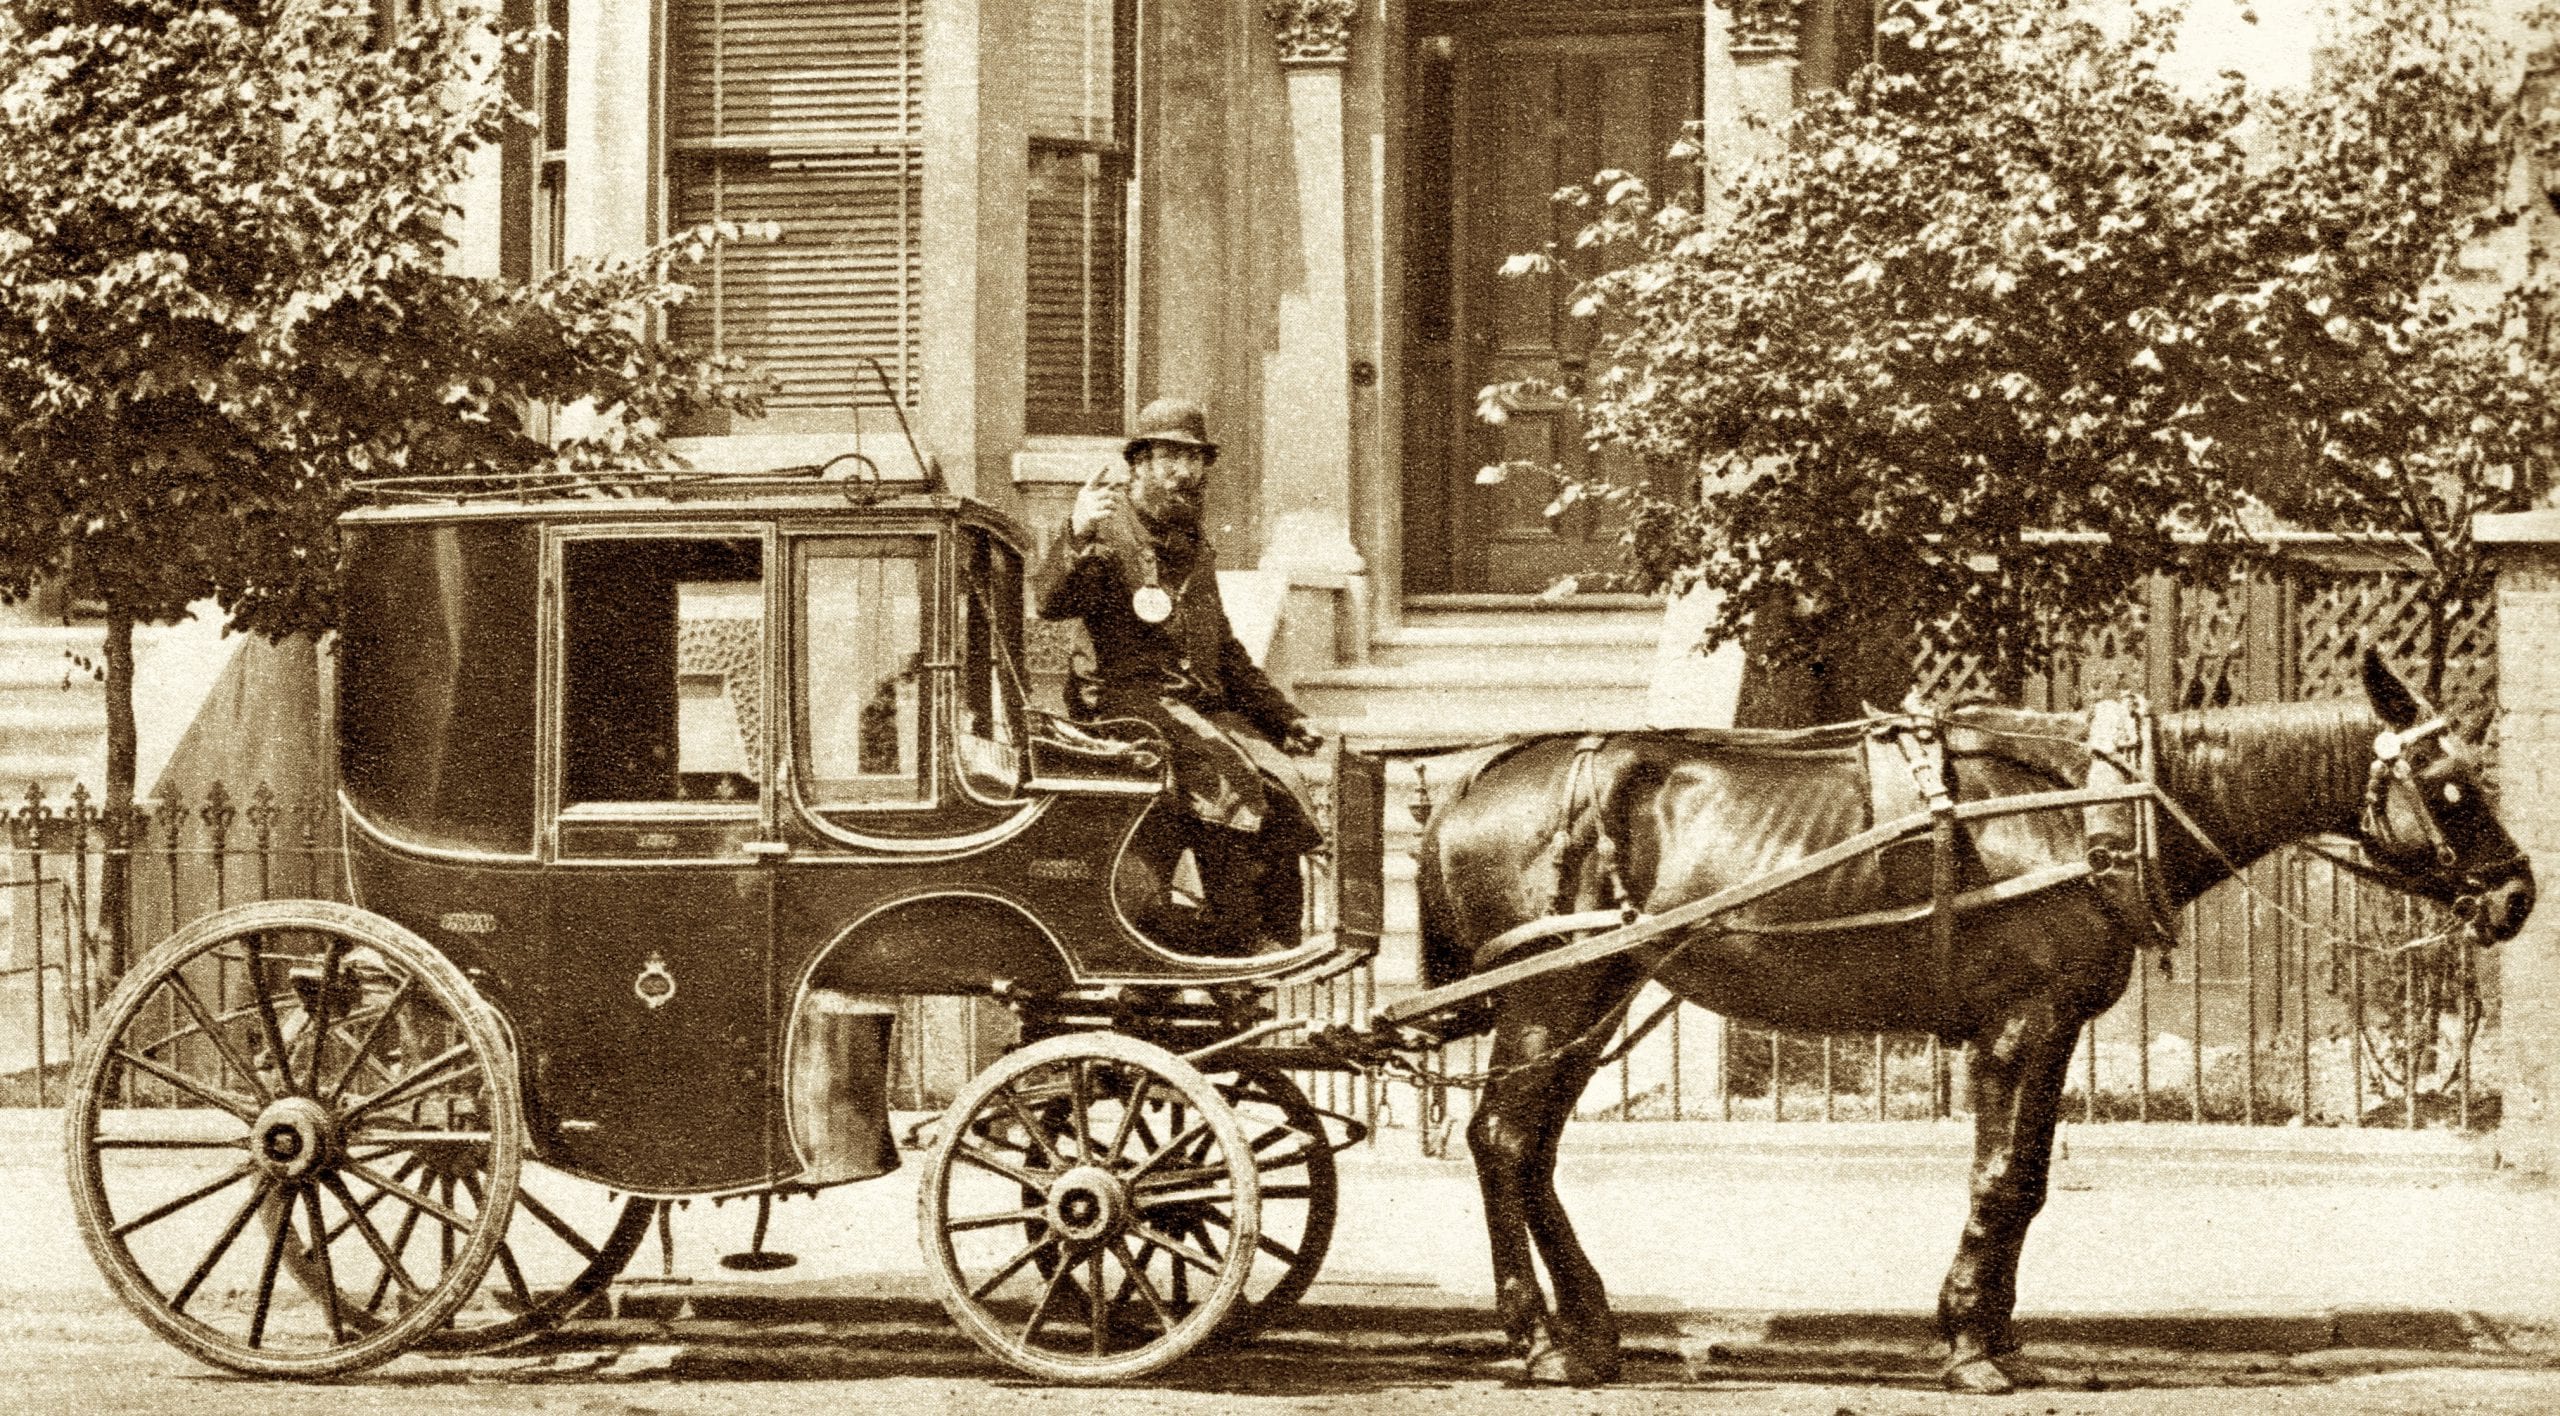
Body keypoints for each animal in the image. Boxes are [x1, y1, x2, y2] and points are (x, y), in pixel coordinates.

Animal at [1423, 650, 2539, 1392]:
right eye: (2451, 789)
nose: (2516, 892)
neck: (2092, 809)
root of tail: (1477, 778)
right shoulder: (2022, 1025)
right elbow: (2001, 1180)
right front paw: (1969, 1345)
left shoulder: (2050, 1030)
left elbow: (2029, 1182)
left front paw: (1995, 1333)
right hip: (1552, 998)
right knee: (1502, 1140)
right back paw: (1536, 1339)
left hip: (1591, 996)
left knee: (1530, 1151)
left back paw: (1588, 1328)